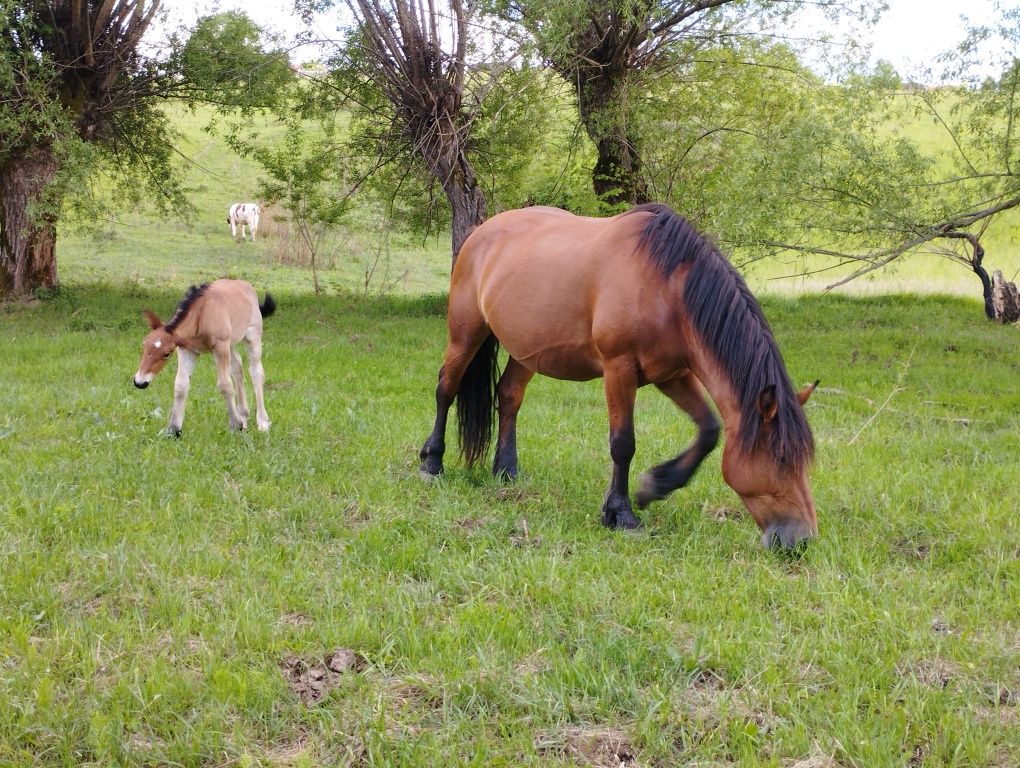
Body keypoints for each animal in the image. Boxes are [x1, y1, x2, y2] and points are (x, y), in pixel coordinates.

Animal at [132, 279, 275, 436]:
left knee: (256, 372)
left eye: (166, 353)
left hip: (252, 337)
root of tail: (246, 286)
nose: (140, 382)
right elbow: (180, 386)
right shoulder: (187, 350)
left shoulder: (220, 346)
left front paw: (235, 426)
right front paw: (174, 430)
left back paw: (262, 422)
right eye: (144, 344)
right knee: (237, 365)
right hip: (230, 344)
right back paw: (243, 416)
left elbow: (225, 385)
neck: (202, 314)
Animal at [416, 205, 820, 546]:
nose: (801, 540)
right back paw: (432, 463)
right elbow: (623, 443)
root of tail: (481, 232)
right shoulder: (618, 369)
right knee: (446, 389)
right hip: (465, 334)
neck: (666, 289)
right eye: (781, 459)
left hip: (526, 350)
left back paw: (506, 471)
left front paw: (655, 486)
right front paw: (621, 514)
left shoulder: (673, 375)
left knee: (510, 395)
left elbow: (709, 430)